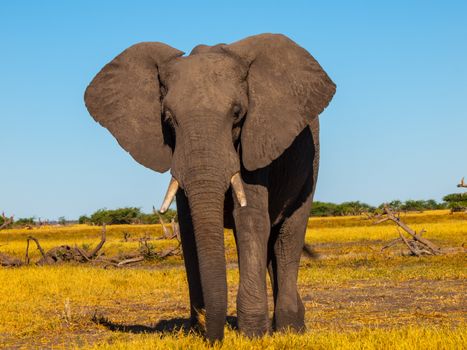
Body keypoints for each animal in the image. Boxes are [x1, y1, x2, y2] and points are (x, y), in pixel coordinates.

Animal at [84, 33, 336, 342]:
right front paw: (198, 330)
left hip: (311, 163)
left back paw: (290, 330)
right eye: (168, 119)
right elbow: (190, 228)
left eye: (237, 114)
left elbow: (250, 219)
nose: (215, 337)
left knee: (288, 236)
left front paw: (253, 335)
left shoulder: (257, 139)